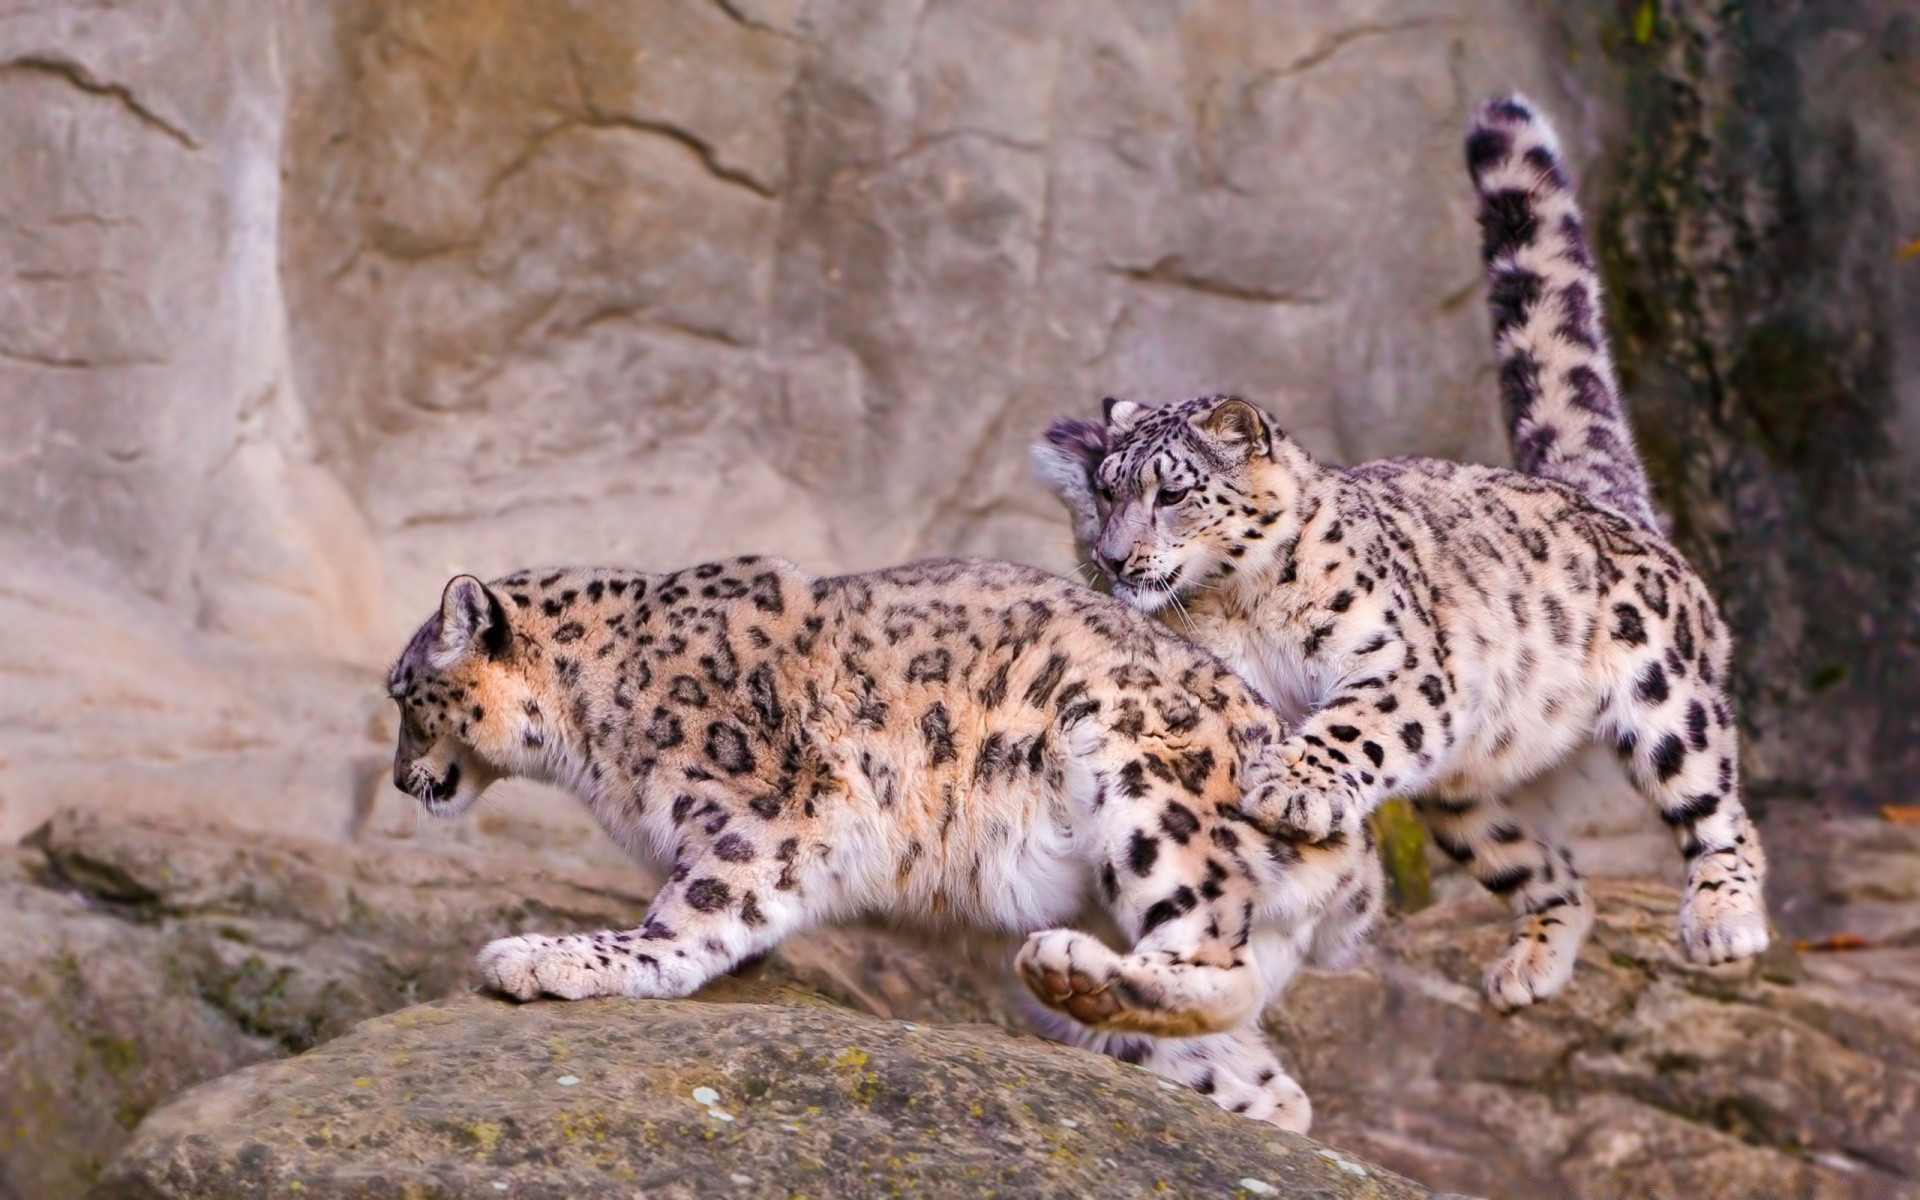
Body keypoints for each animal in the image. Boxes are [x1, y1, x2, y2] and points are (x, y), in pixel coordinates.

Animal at [389, 556, 1382, 1128]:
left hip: (1145, 778)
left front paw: (565, 958)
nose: (400, 778)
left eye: (405, 697)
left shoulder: (772, 805)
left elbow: (698, 911)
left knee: (1218, 957)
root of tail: (1362, 855)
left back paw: (1072, 969)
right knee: (1269, 1081)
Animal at [1036, 96, 1766, 1013]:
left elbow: (1349, 725)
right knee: (1551, 872)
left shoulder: (1400, 660)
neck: (1239, 600)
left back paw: (1723, 922)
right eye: (1106, 490)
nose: (1113, 558)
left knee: (1718, 807)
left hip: (1669, 695)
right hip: (1465, 801)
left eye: (1170, 494)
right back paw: (1528, 967)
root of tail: (1600, 498)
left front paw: (1290, 790)